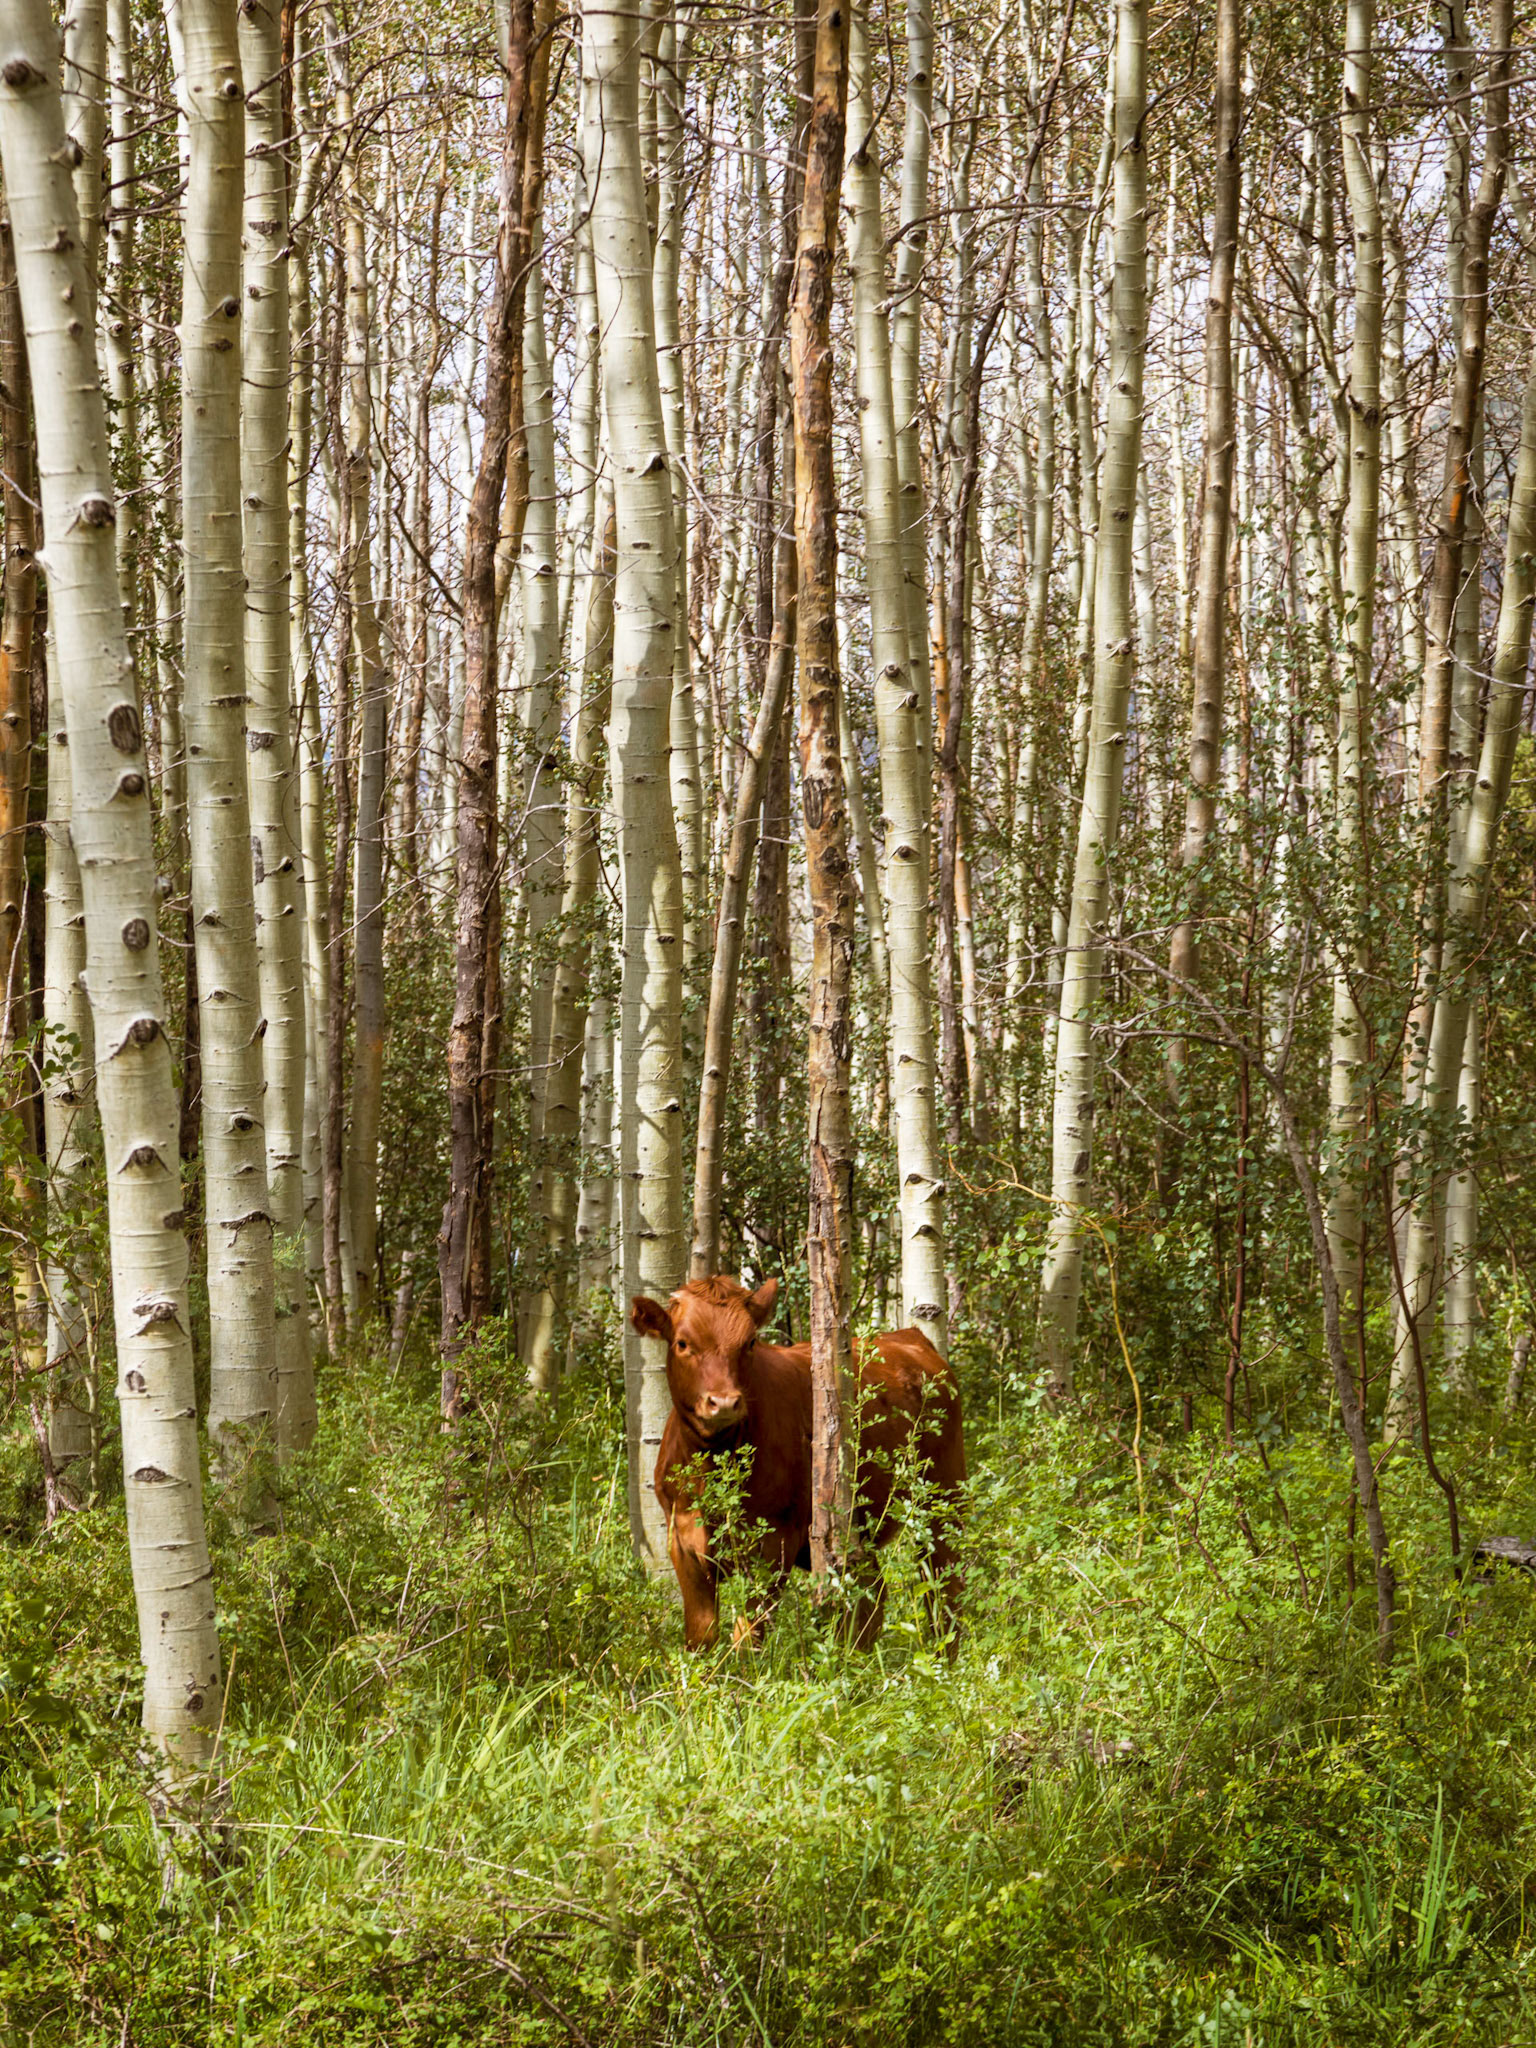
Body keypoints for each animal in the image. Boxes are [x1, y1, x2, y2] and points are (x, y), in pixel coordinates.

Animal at [631, 1275, 965, 1651]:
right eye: (683, 1343)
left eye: (750, 1342)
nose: (725, 1402)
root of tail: (910, 1337)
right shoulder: (683, 1543)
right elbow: (701, 1635)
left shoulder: (773, 1545)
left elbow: (747, 1635)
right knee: (873, 1596)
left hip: (943, 1501)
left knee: (945, 1589)